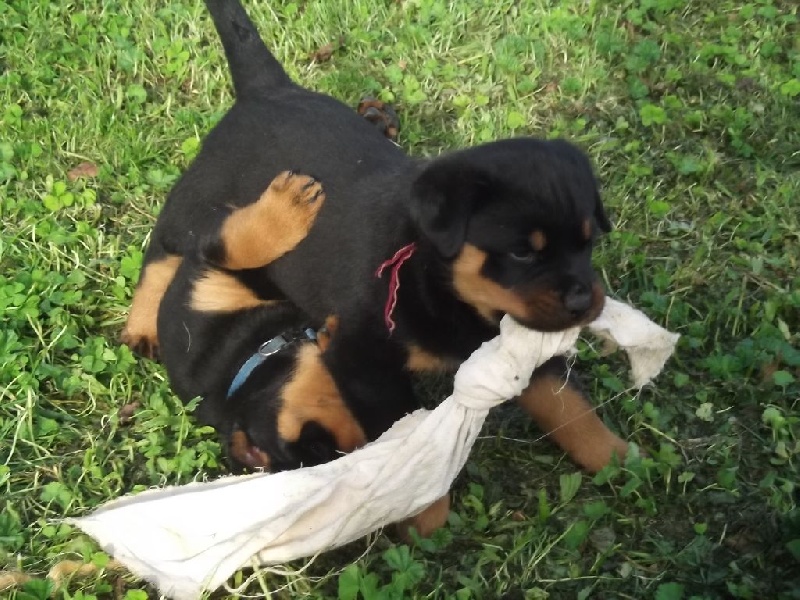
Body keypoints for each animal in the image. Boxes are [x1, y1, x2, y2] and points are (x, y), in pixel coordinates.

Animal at [122, 0, 628, 536]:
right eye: (522, 254)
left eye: (588, 241)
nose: (584, 300)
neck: (436, 280)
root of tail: (268, 90)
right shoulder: (366, 361)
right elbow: (406, 434)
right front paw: (423, 513)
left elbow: (567, 404)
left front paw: (618, 459)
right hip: (197, 197)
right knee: (166, 248)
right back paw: (144, 323)